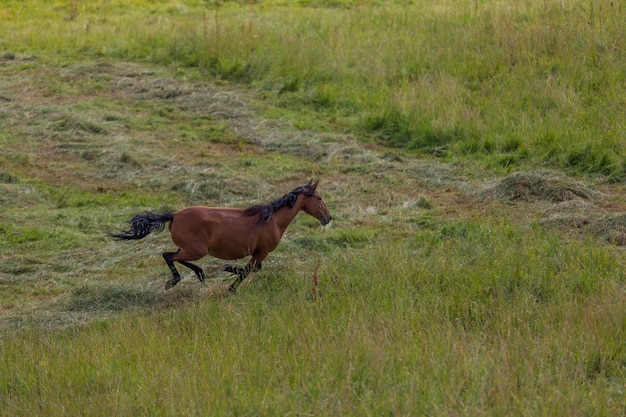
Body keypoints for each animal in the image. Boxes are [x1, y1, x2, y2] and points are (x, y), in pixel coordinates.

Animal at [110, 180, 332, 292]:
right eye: (319, 198)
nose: (328, 217)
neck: (272, 220)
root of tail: (174, 215)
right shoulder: (261, 253)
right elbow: (247, 271)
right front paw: (230, 281)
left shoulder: (259, 254)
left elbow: (253, 270)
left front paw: (228, 272)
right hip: (197, 250)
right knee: (168, 256)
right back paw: (175, 281)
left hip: (190, 249)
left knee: (173, 256)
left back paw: (200, 274)